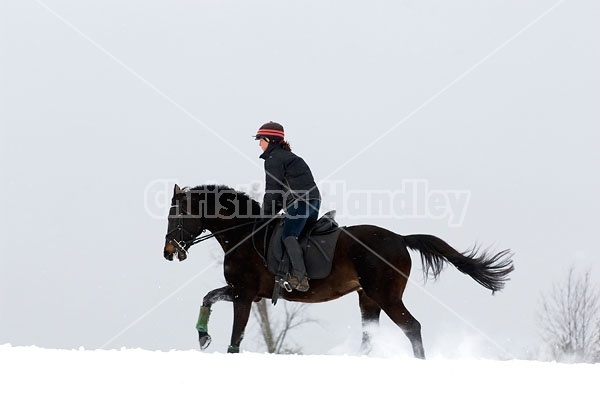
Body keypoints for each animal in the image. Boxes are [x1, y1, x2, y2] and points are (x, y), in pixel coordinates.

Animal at [164, 184, 516, 358]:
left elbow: (236, 332)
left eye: (175, 216)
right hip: (368, 299)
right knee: (369, 337)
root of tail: (400, 238)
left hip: (385, 296)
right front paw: (203, 337)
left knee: (412, 327)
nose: (168, 252)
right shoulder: (241, 291)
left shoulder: (246, 294)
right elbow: (208, 297)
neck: (245, 232)